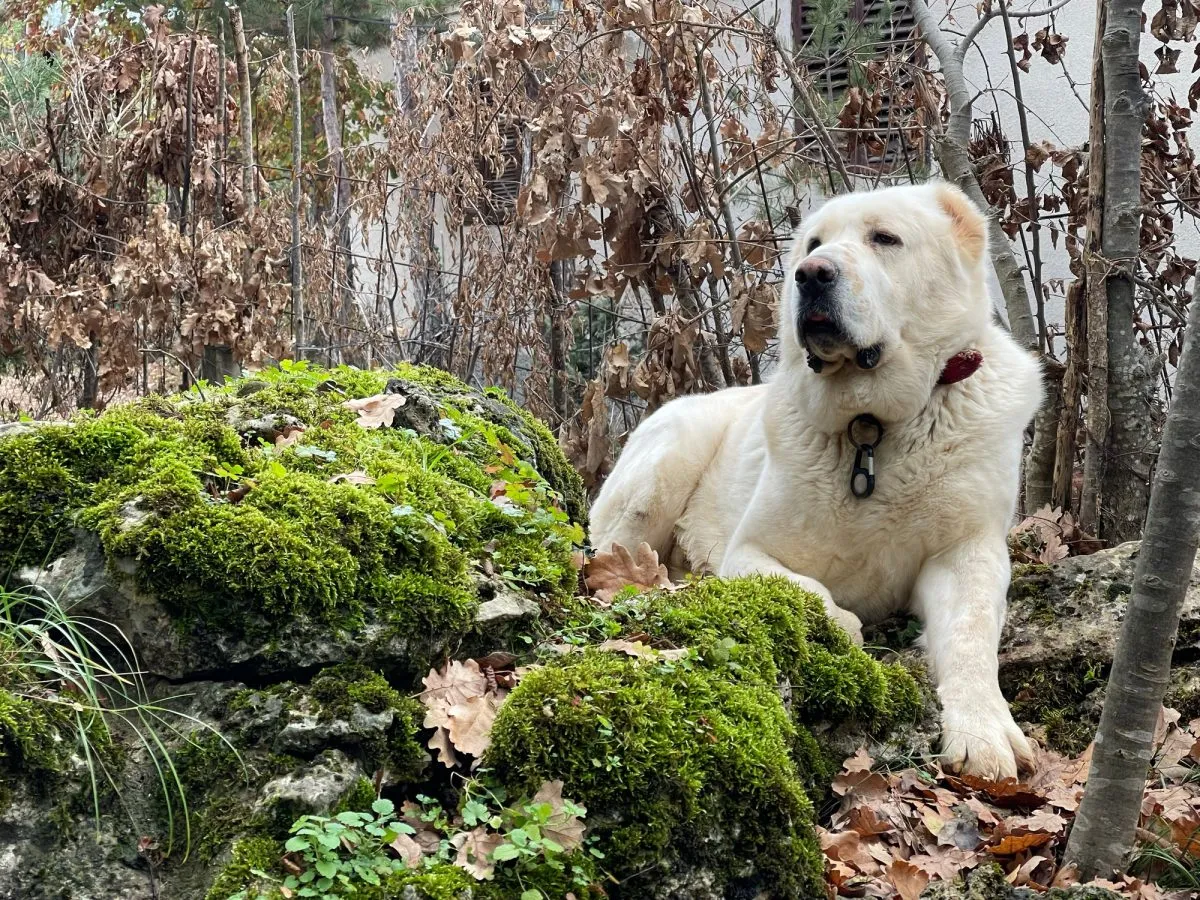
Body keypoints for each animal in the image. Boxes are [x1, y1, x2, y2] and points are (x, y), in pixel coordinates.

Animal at [590, 180, 1041, 777]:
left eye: (885, 238)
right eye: (814, 243)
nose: (812, 273)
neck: (872, 424)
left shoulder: (966, 551)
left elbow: (970, 634)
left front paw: (983, 731)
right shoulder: (750, 550)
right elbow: (812, 592)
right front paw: (846, 625)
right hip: (670, 458)